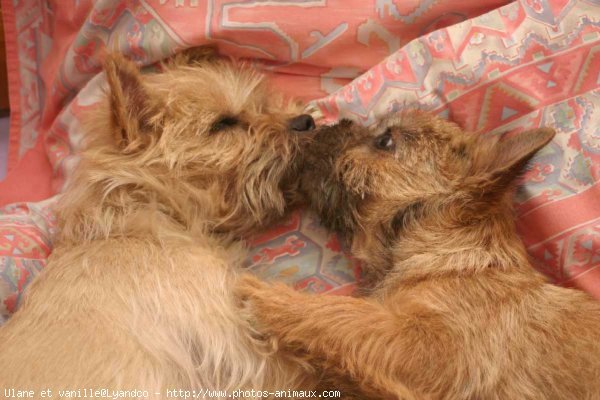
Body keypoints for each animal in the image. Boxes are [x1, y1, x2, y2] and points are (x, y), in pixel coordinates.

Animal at [237, 110, 600, 400]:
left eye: (385, 141)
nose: (321, 124)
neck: (448, 255)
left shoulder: (429, 349)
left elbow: (340, 314)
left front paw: (258, 293)